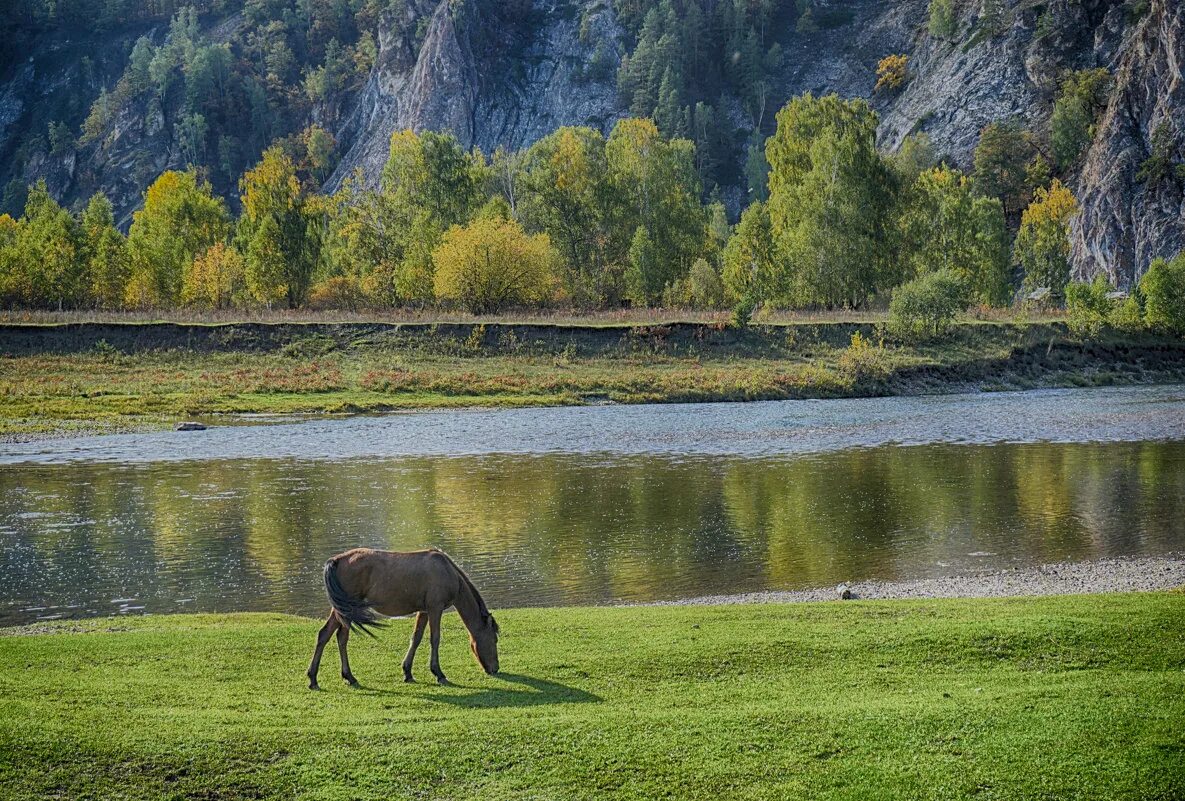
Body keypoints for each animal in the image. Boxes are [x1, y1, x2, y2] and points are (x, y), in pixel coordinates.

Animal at [305, 547, 500, 691]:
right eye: (494, 639)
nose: (495, 668)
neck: (447, 571)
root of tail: (336, 560)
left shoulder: (424, 611)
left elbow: (416, 638)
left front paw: (407, 672)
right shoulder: (435, 608)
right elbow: (435, 639)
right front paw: (439, 674)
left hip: (342, 609)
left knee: (329, 636)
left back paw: (324, 678)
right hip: (346, 608)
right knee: (336, 636)